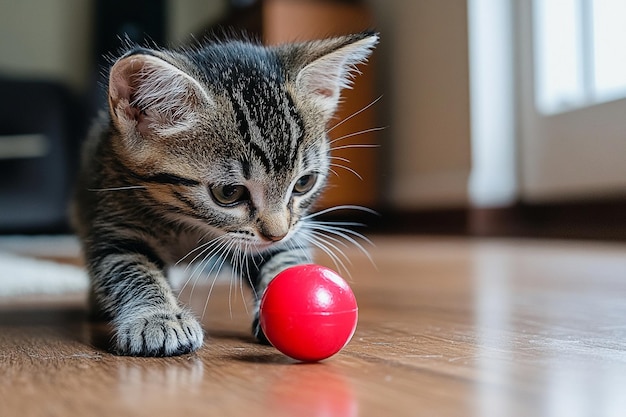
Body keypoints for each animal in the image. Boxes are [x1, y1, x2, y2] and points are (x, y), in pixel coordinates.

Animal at [72, 30, 376, 354]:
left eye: (304, 183)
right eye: (229, 193)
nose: (276, 233)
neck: (188, 226)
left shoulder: (285, 234)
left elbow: (284, 257)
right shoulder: (116, 221)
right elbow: (130, 268)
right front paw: (159, 318)